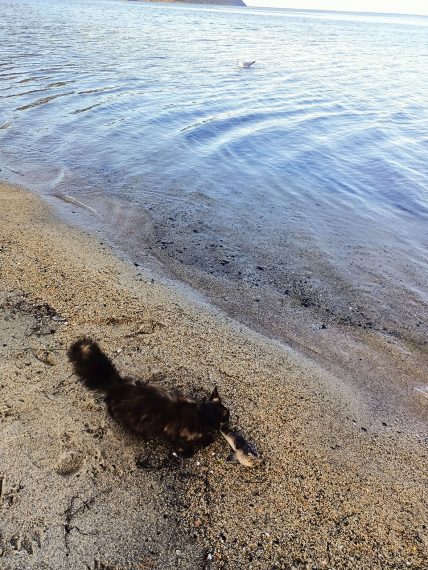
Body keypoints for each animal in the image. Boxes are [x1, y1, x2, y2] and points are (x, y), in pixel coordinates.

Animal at [67, 336, 227, 454]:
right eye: (227, 415)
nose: (229, 418)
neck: (200, 412)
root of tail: (117, 384)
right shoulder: (179, 433)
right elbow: (187, 443)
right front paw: (201, 444)